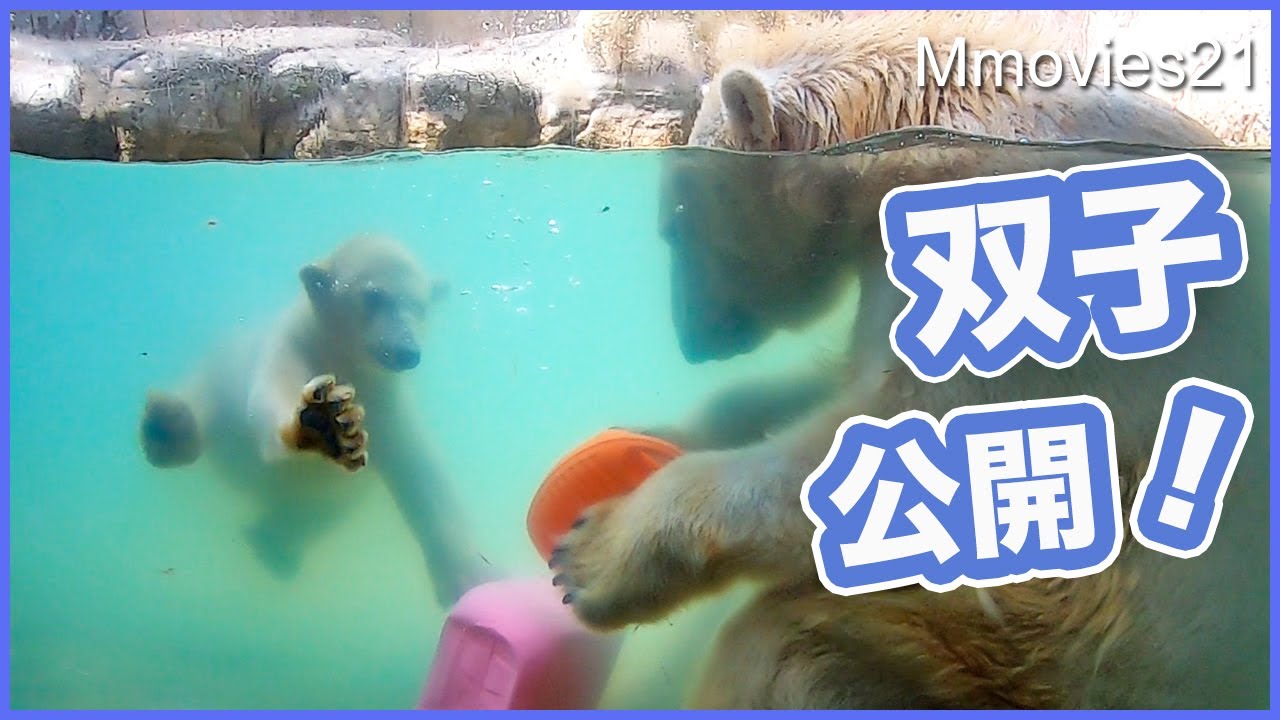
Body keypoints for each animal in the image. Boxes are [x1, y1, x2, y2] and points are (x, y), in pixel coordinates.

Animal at [139, 234, 490, 609]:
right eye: (374, 296)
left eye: (422, 305)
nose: (407, 351)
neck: (339, 356)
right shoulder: (290, 347)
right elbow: (269, 396)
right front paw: (327, 424)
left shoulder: (387, 402)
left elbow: (424, 476)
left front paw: (470, 577)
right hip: (218, 373)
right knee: (199, 403)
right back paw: (168, 427)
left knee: (314, 512)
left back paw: (272, 548)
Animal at [548, 11, 1267, 710]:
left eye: (674, 225)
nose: (694, 340)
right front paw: (658, 433)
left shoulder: (1016, 263)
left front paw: (588, 556)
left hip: (1058, 645)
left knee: (786, 650)